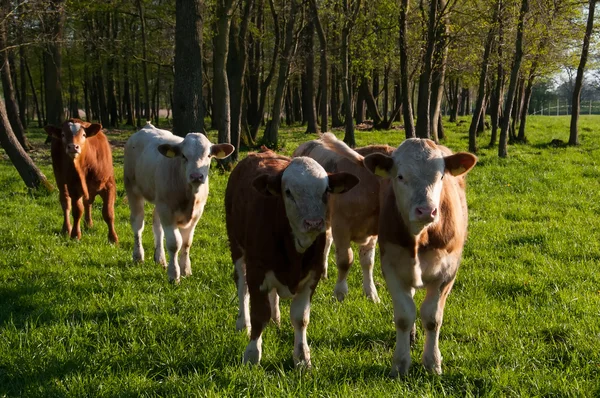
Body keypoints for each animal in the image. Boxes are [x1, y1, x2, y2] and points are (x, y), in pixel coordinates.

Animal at [123, 122, 233, 282]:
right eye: (183, 156)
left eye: (208, 155)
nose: (196, 176)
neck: (189, 196)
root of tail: (147, 127)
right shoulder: (167, 211)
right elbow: (174, 243)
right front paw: (174, 275)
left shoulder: (196, 213)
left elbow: (186, 243)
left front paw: (185, 269)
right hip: (133, 188)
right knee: (138, 224)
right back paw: (138, 256)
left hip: (159, 200)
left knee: (157, 225)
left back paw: (160, 258)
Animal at [322, 133, 476, 376]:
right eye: (401, 176)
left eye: (441, 176)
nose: (426, 211)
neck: (420, 237)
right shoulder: (392, 267)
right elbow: (404, 316)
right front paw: (401, 364)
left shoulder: (447, 273)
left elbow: (432, 318)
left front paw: (432, 362)